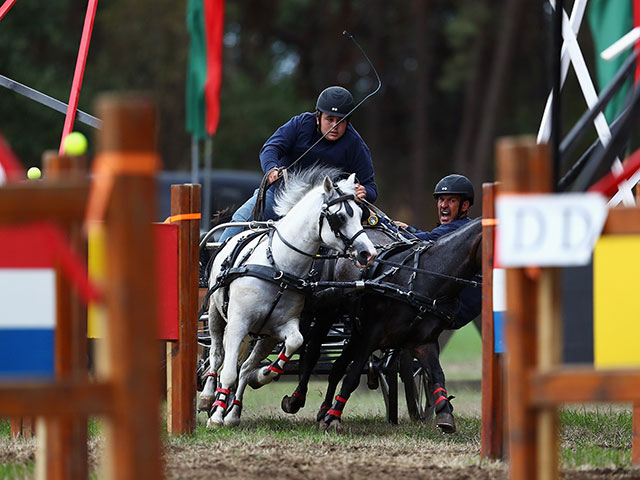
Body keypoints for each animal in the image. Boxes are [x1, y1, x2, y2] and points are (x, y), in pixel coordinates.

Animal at [195, 168, 376, 428]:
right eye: (340, 217)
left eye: (361, 214)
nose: (368, 253)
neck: (279, 266)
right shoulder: (238, 324)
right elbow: (227, 371)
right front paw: (216, 415)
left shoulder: (283, 326)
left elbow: (294, 343)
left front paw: (264, 374)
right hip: (216, 318)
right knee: (217, 356)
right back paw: (210, 398)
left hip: (264, 337)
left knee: (246, 366)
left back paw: (235, 411)